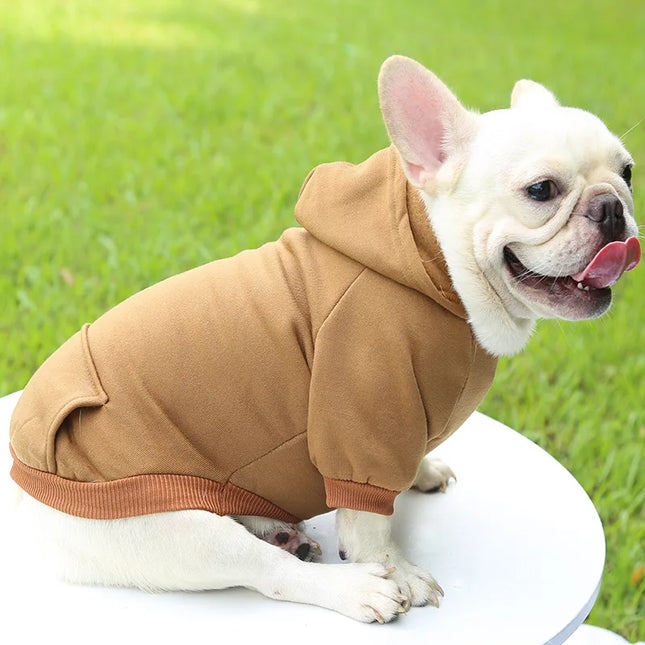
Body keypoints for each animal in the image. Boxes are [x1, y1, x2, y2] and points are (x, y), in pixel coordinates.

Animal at [8, 56, 640, 624]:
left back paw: (279, 531)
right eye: (542, 190)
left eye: (628, 171)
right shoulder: (363, 413)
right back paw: (347, 586)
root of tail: (24, 476)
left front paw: (420, 469)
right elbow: (368, 522)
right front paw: (396, 571)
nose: (613, 207)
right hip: (171, 531)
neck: (439, 268)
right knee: (265, 572)